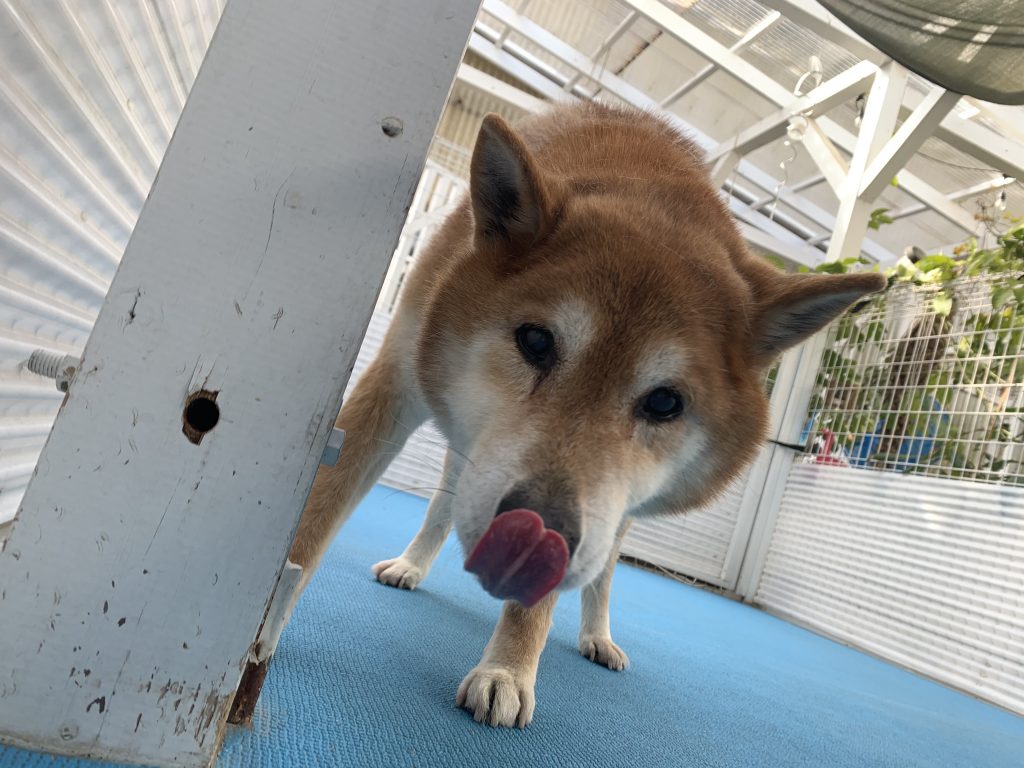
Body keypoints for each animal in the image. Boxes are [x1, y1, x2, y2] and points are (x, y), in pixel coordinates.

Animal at [284, 100, 884, 729]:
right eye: (535, 341)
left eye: (665, 402)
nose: (538, 534)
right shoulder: (395, 384)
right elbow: (315, 519)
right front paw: (260, 629)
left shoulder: (593, 511)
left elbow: (549, 597)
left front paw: (507, 670)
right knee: (441, 508)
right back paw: (411, 565)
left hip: (616, 513)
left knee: (604, 573)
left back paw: (598, 637)